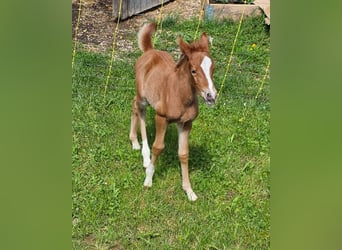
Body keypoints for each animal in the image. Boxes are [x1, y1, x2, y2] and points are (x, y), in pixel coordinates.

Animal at [130, 23, 218, 201]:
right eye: (193, 70)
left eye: (213, 68)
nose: (211, 96)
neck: (180, 96)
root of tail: (150, 51)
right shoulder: (161, 118)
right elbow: (158, 147)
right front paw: (148, 179)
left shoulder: (186, 123)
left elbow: (183, 153)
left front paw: (189, 190)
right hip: (143, 97)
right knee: (138, 110)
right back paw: (142, 152)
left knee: (135, 106)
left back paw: (137, 145)